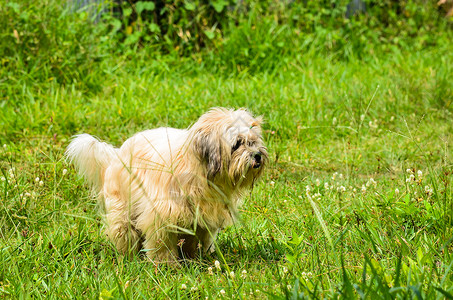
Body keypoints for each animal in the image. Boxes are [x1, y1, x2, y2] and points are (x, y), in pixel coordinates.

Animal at [65, 108, 266, 262]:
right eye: (237, 144)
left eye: (253, 141)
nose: (257, 155)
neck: (200, 173)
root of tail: (116, 155)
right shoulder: (161, 214)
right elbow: (161, 243)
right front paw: (165, 264)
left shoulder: (203, 218)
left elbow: (199, 239)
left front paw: (197, 258)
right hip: (123, 209)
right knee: (125, 232)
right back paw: (128, 256)